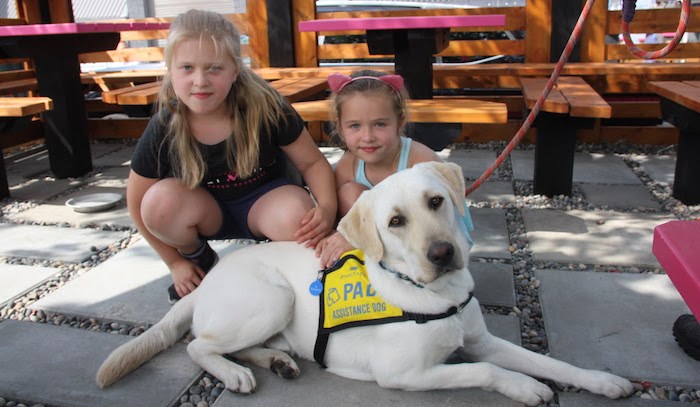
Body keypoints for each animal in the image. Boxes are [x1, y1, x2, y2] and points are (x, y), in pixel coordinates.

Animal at [94, 162, 636, 404]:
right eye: (395, 222)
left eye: (436, 202)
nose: (443, 254)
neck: (430, 294)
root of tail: (207, 280)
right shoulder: (404, 374)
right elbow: (483, 371)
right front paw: (525, 387)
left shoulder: (481, 339)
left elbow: (549, 361)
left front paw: (600, 380)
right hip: (273, 297)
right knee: (198, 346)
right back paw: (234, 374)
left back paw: (276, 361)